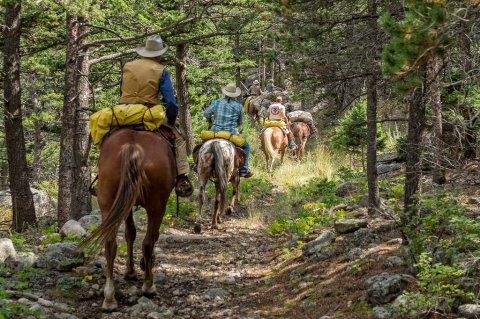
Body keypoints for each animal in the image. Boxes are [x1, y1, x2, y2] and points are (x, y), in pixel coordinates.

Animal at [79, 129, 175, 312]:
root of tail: (132, 146)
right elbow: (141, 235)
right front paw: (137, 269)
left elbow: (130, 233)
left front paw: (130, 271)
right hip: (157, 205)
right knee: (148, 241)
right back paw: (148, 286)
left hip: (108, 203)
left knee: (110, 245)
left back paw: (109, 297)